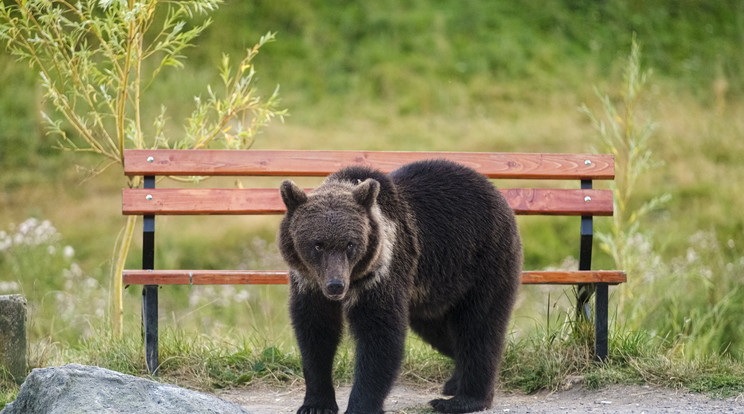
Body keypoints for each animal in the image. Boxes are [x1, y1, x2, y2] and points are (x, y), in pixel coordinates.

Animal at [278, 159, 524, 414]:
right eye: (317, 245)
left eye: (350, 244)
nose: (335, 285)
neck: (355, 279)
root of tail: (494, 190)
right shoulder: (309, 285)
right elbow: (315, 334)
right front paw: (316, 404)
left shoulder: (383, 274)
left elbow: (380, 335)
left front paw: (360, 405)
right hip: (432, 292)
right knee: (442, 332)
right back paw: (454, 382)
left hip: (483, 261)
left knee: (478, 327)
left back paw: (463, 399)